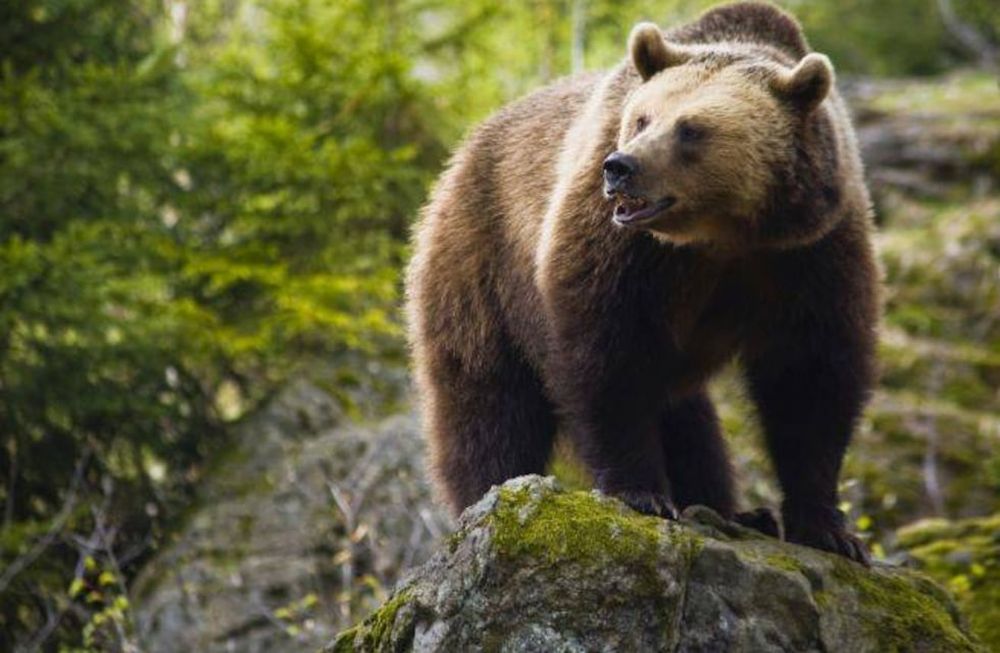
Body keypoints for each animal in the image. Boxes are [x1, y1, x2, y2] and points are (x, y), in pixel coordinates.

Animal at [405, 1, 879, 564]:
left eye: (692, 129)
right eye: (641, 118)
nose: (621, 167)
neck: (721, 236)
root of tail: (463, 150)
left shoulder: (808, 252)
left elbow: (810, 376)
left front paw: (827, 528)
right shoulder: (622, 249)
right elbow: (608, 356)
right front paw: (640, 492)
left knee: (688, 418)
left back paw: (733, 510)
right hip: (480, 261)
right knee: (488, 399)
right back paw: (487, 491)